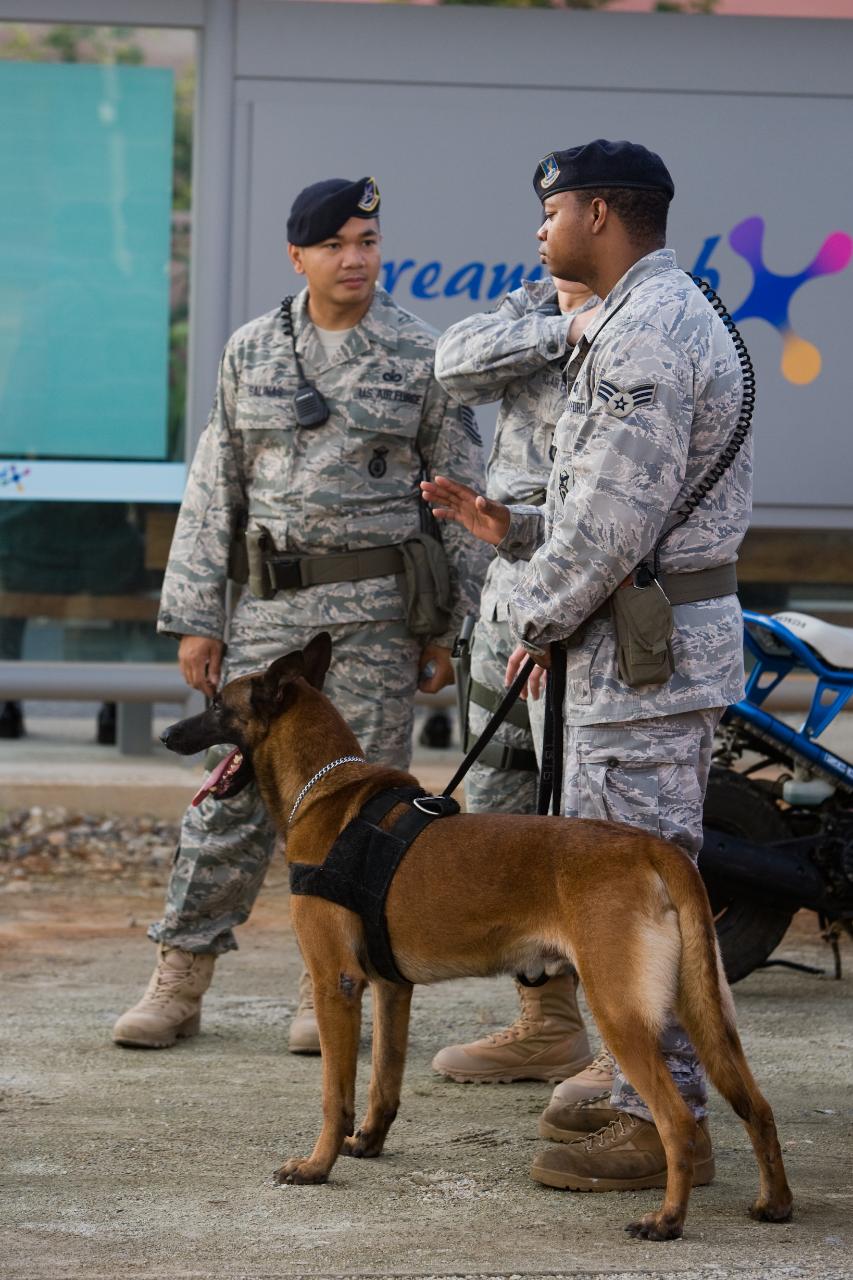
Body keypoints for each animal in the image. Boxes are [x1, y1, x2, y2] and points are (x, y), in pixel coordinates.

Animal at [161, 632, 788, 1239]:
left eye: (217, 705)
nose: (167, 733)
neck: (327, 790)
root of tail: (655, 848)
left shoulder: (334, 985)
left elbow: (334, 1096)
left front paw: (317, 1166)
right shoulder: (391, 989)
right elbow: (383, 1081)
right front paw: (369, 1143)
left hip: (621, 1011)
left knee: (677, 1121)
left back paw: (667, 1220)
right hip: (704, 1014)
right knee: (757, 1106)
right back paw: (774, 1203)